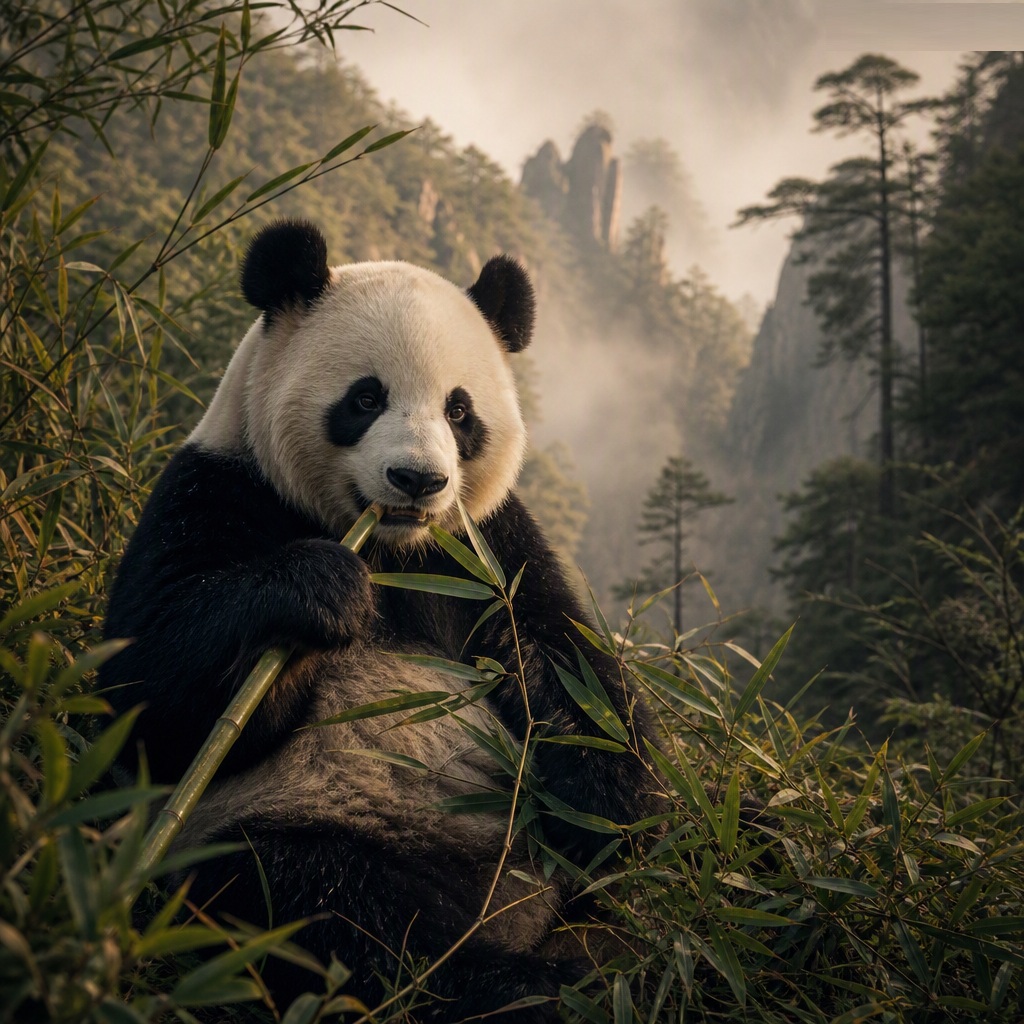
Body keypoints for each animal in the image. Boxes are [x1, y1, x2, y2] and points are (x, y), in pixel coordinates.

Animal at [102, 219, 659, 1021]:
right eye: (365, 398)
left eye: (459, 411)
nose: (417, 480)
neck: (392, 548)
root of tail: (516, 913)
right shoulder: (218, 489)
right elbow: (148, 695)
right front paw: (321, 589)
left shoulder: (485, 546)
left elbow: (565, 661)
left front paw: (612, 812)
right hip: (314, 828)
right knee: (321, 908)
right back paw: (518, 985)